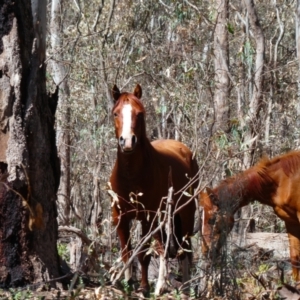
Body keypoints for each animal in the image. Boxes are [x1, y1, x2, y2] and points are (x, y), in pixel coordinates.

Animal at [109, 84, 198, 296]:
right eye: (116, 113)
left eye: (139, 113)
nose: (127, 142)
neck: (131, 176)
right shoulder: (120, 218)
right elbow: (127, 253)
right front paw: (128, 283)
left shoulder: (147, 218)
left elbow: (143, 254)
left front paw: (144, 287)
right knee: (165, 247)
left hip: (186, 213)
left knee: (184, 249)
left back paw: (184, 287)